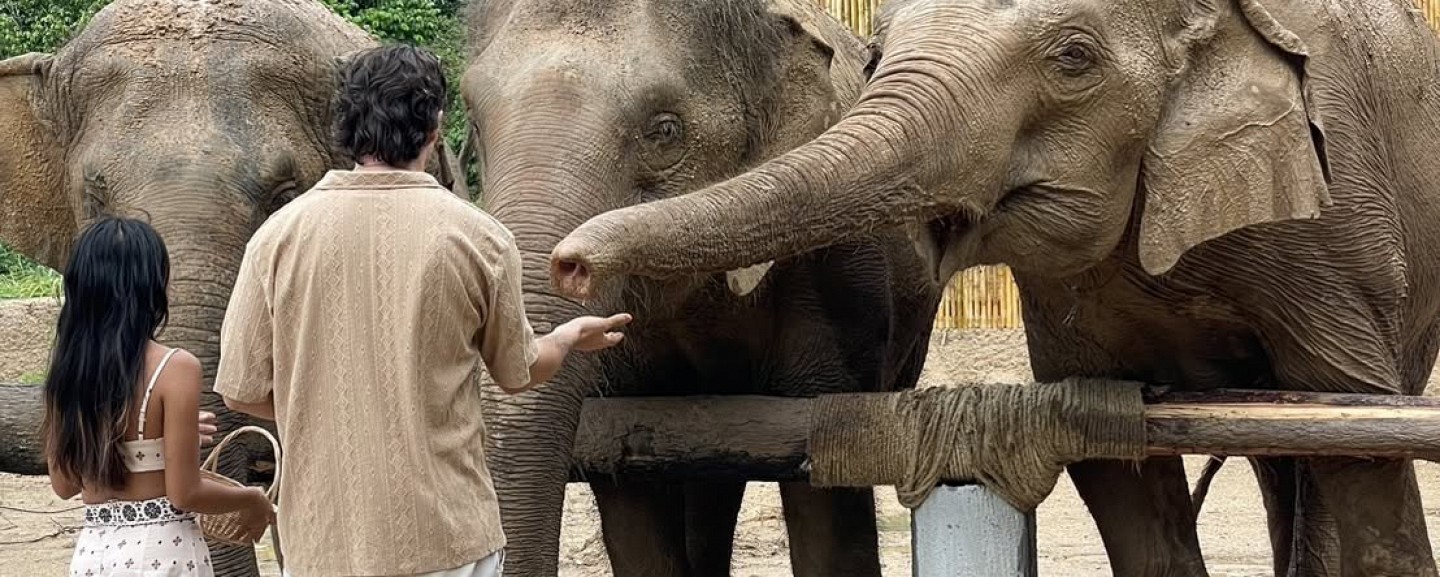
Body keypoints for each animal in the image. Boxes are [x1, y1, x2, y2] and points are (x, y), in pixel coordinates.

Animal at [461, 0, 942, 574]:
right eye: (473, 119)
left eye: (665, 130)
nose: (571, 265)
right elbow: (629, 501)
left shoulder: (839, 273)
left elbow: (827, 497)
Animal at [549, 0, 1440, 575]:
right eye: (876, 57)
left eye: (1073, 57)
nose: (569, 261)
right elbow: (1112, 460)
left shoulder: (1331, 227)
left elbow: (1357, 436)